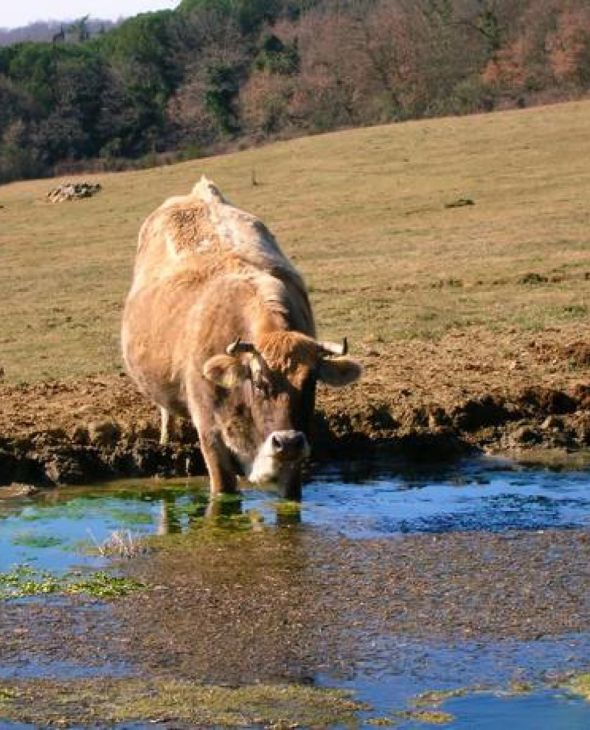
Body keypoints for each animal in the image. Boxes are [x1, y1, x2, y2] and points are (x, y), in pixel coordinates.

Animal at [121, 178, 360, 500]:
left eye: (311, 382)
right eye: (258, 382)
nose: (287, 441)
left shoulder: (293, 460)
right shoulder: (211, 437)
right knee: (166, 412)